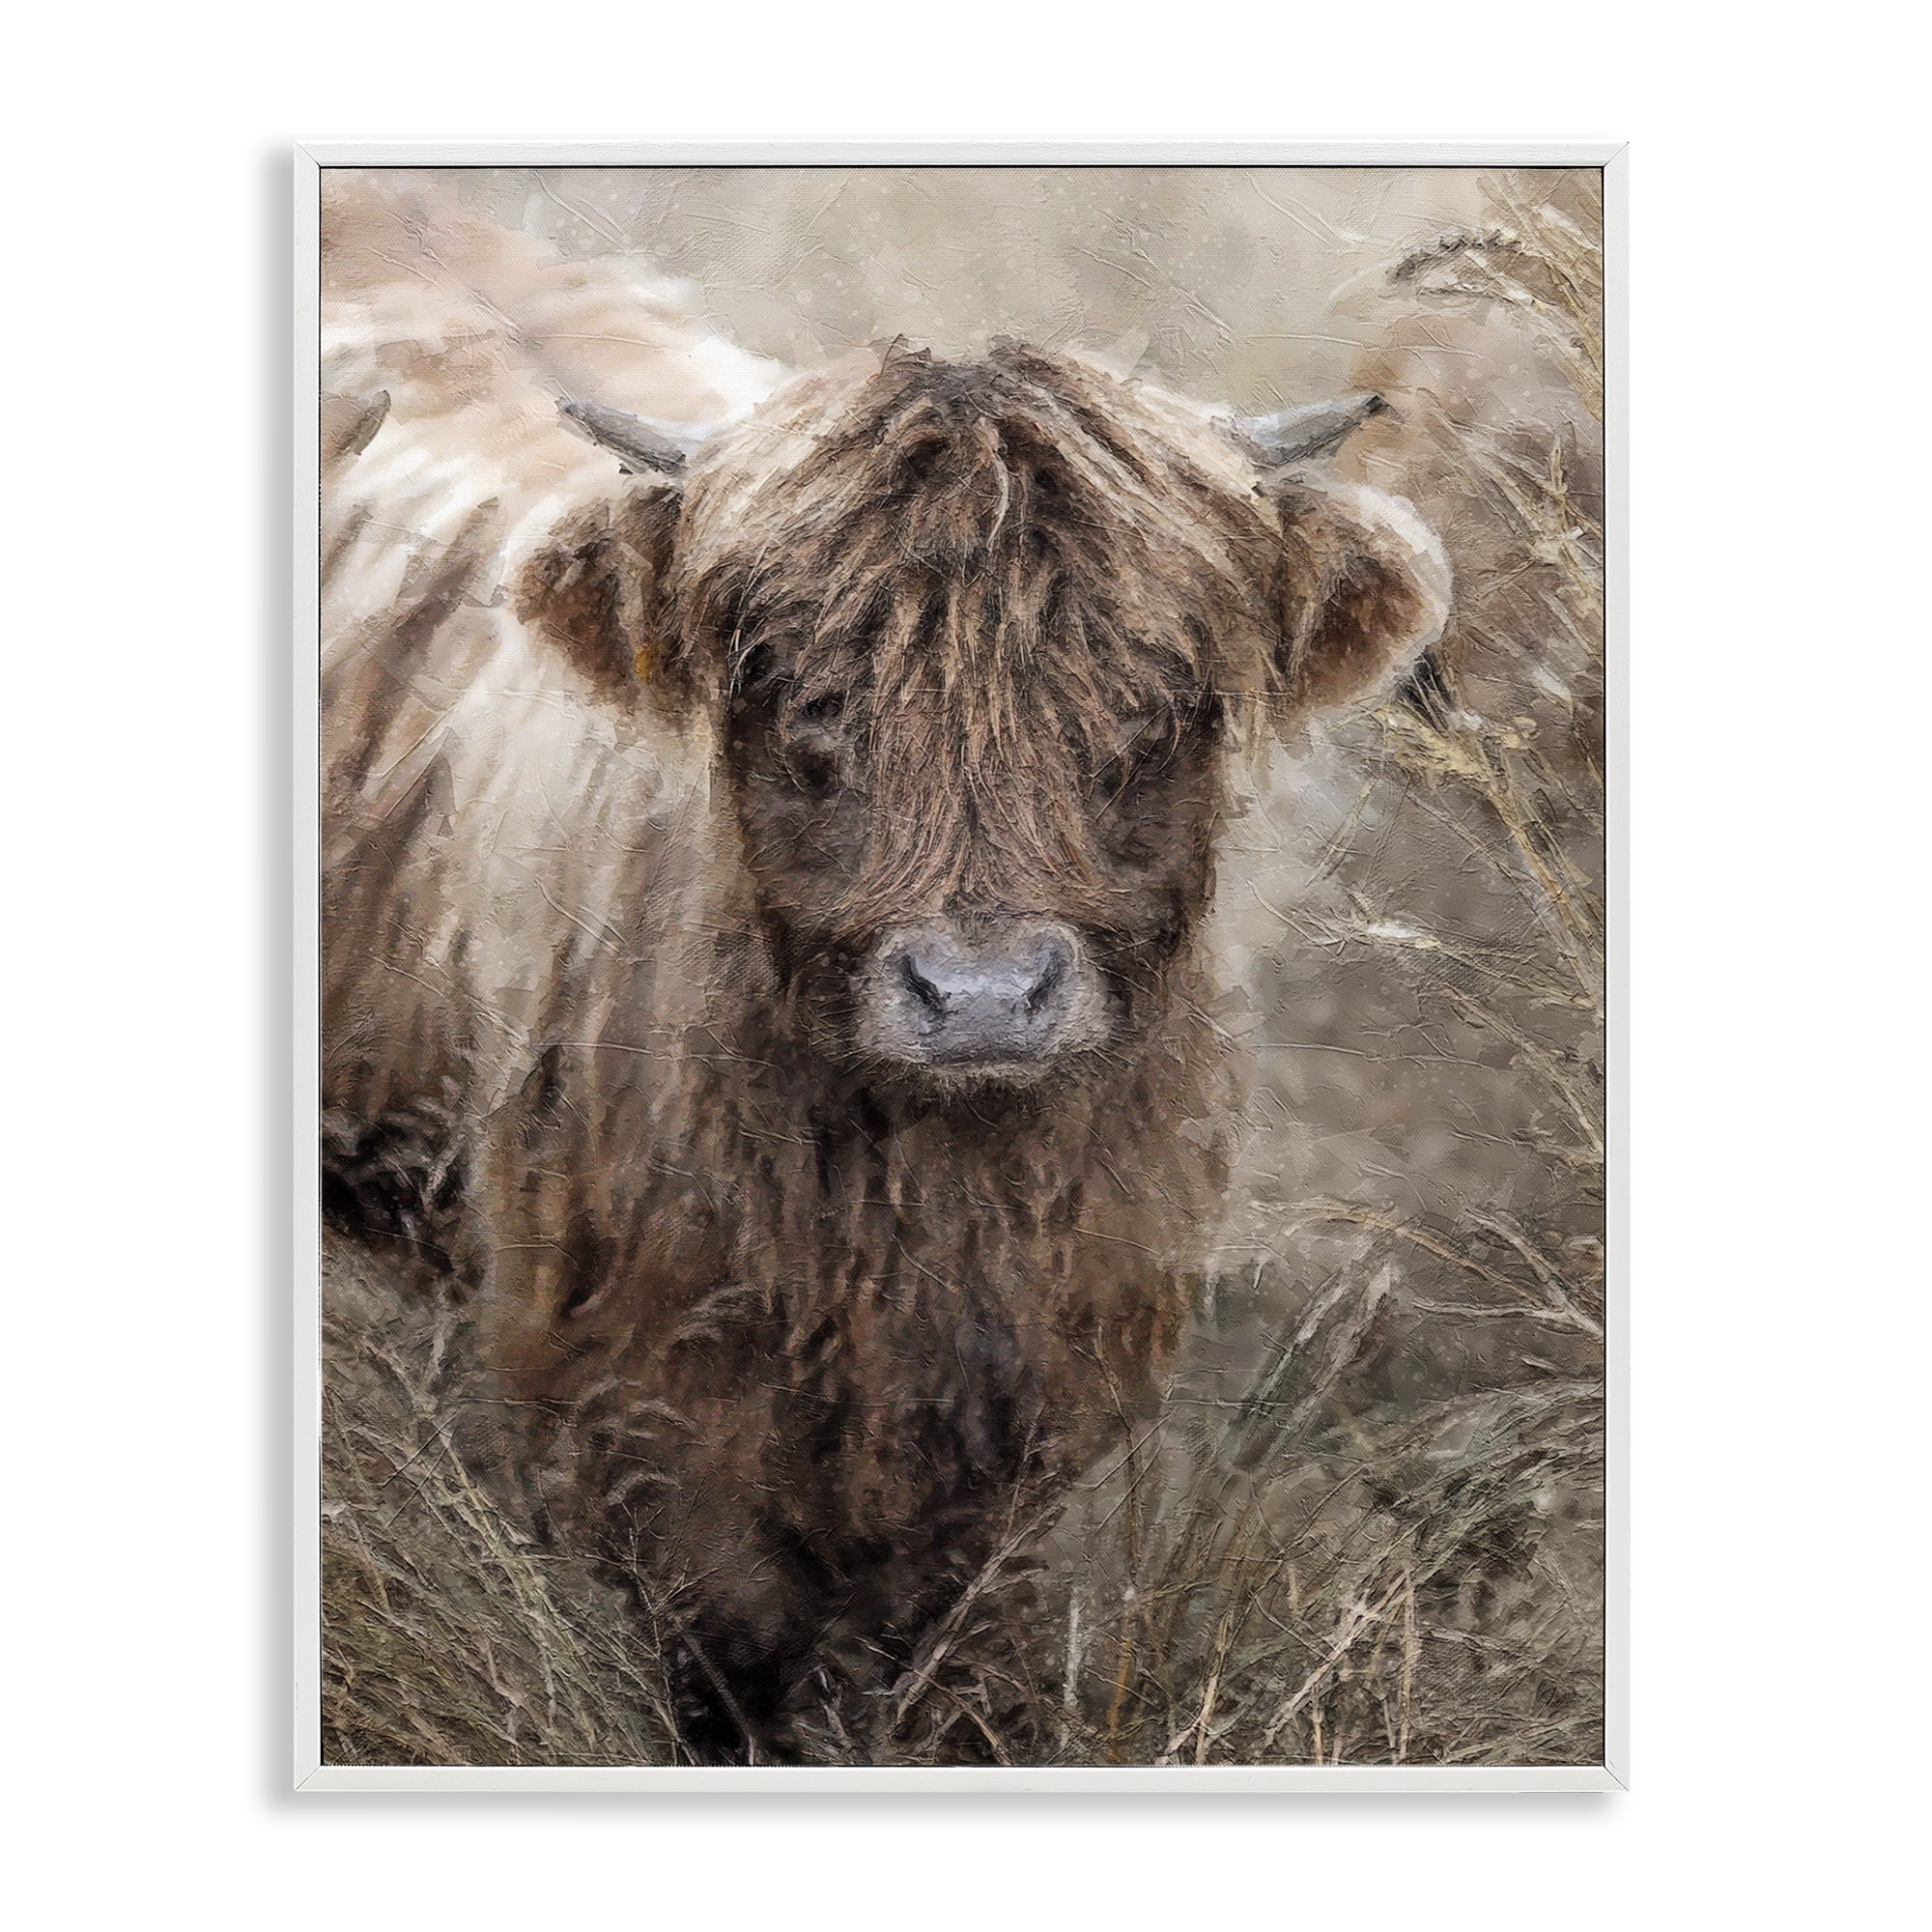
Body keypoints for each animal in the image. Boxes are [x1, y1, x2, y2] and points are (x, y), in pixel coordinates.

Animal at [320, 194, 1448, 1760]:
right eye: (800, 702)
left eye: (1157, 708)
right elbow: (723, 1654)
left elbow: (953, 1653)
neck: (919, 1206)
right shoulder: (627, 1397)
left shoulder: (1032, 1410)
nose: (979, 995)